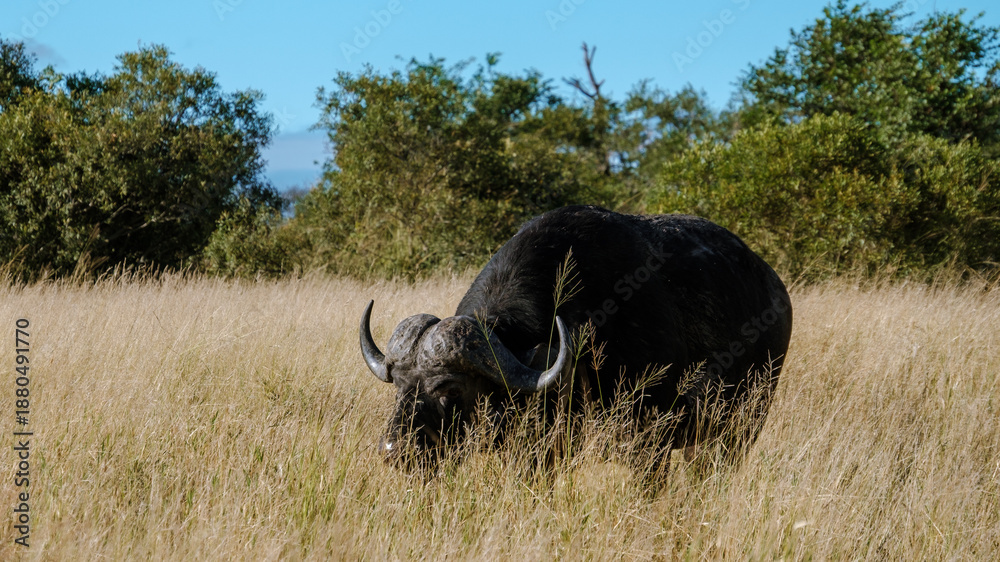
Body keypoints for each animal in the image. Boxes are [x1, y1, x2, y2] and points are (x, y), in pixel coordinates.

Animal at [360, 205, 792, 474]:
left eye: (451, 389)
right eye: (400, 386)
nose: (395, 451)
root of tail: (775, 289)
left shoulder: (651, 445)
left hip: (744, 425)